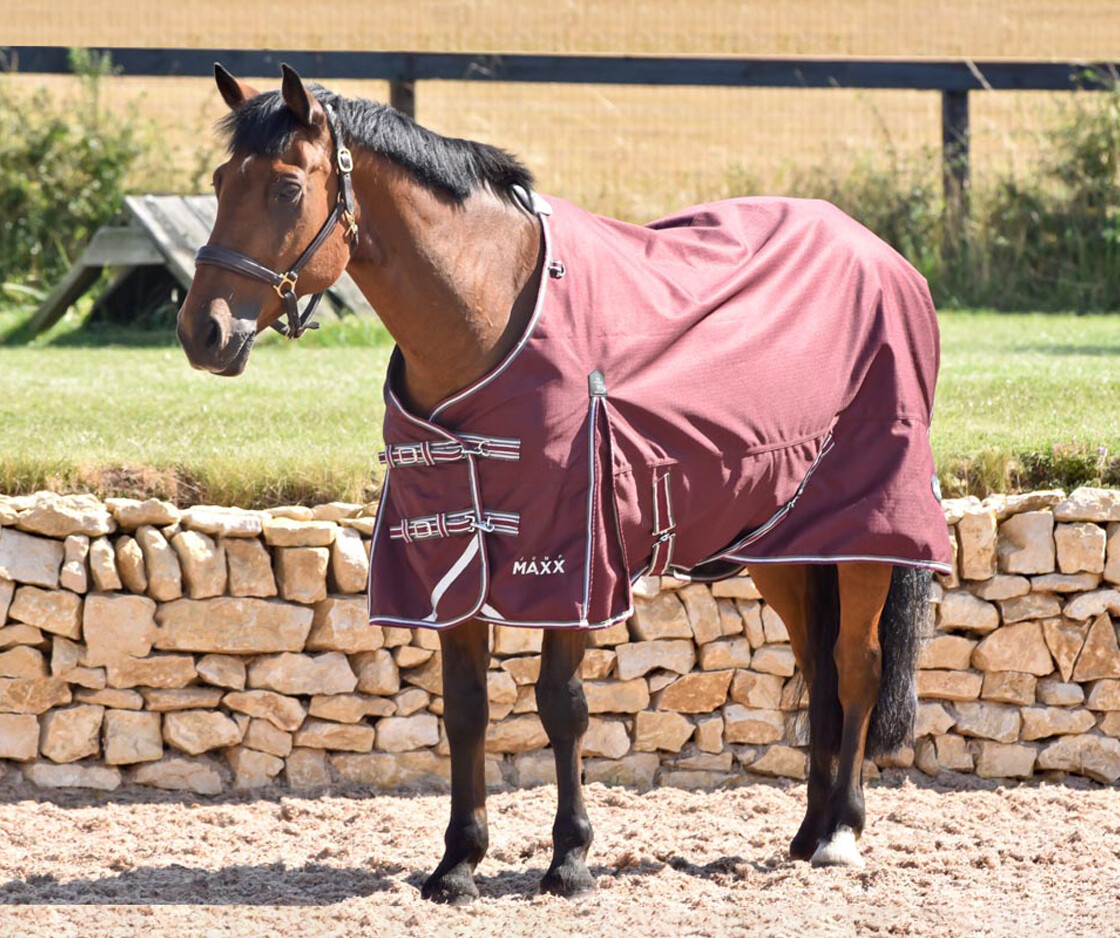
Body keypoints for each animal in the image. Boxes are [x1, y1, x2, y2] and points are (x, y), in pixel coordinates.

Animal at [177, 64, 952, 903]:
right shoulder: (451, 558)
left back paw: (842, 833)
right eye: (220, 181)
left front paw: (571, 857)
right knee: (819, 674)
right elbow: (467, 709)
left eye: (287, 188)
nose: (203, 333)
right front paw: (458, 862)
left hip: (865, 534)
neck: (487, 316)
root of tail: (885, 259)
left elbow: (564, 705)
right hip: (779, 546)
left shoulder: (577, 562)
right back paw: (809, 832)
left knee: (857, 665)